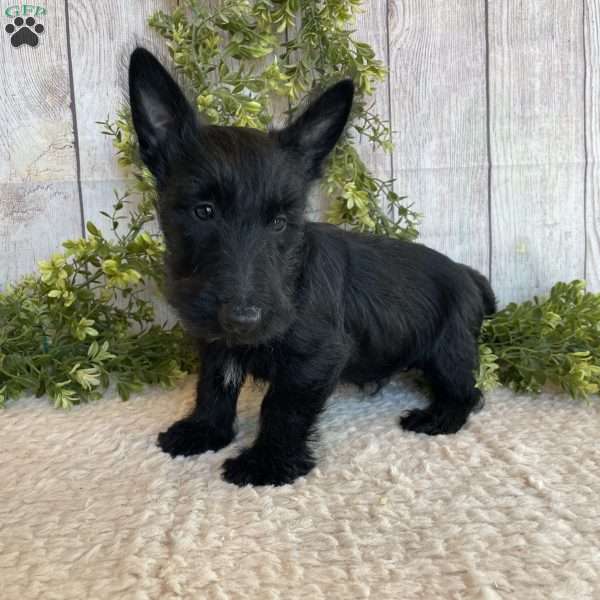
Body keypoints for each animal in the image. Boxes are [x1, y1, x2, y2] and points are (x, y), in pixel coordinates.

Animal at [129, 47, 494, 488]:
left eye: (279, 222)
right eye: (204, 211)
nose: (243, 317)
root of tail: (467, 272)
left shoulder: (315, 358)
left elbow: (280, 407)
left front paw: (266, 462)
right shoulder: (218, 342)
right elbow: (213, 386)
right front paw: (204, 431)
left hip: (448, 351)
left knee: (467, 392)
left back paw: (437, 418)